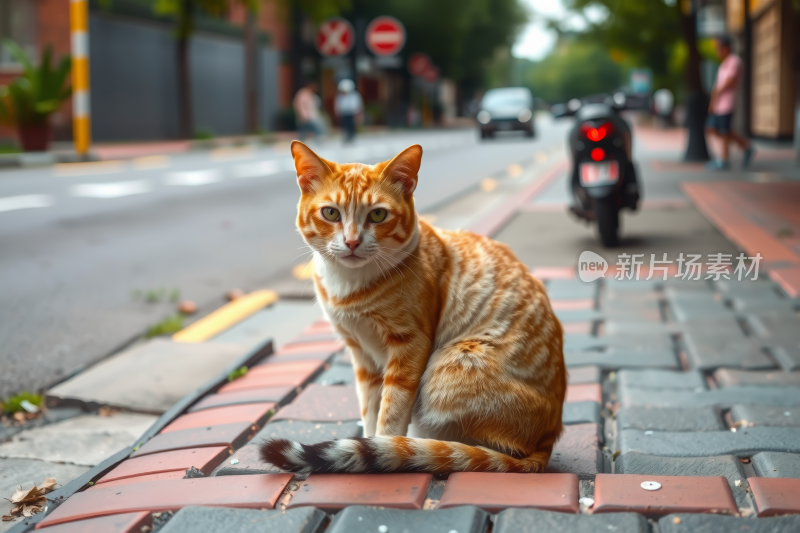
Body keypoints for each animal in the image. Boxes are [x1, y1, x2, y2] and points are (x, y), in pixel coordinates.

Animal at [260, 141, 564, 474]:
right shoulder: (360, 352)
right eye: (330, 213)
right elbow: (369, 406)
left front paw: (381, 446)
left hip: (448, 368)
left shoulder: (409, 345)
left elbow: (391, 411)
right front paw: (369, 440)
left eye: (378, 214)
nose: (352, 242)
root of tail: (546, 443)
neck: (351, 286)